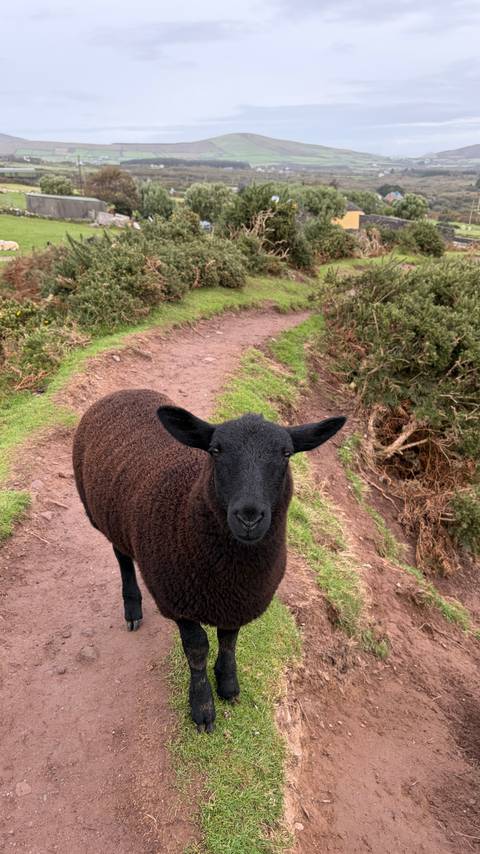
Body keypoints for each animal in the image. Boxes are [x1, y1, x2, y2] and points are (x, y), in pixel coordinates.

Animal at [73, 388, 345, 732]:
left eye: (286, 453)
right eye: (215, 450)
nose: (249, 516)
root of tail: (123, 392)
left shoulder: (238, 600)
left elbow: (229, 640)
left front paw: (228, 684)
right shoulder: (179, 601)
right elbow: (197, 649)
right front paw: (202, 707)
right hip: (100, 517)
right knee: (122, 558)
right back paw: (132, 607)